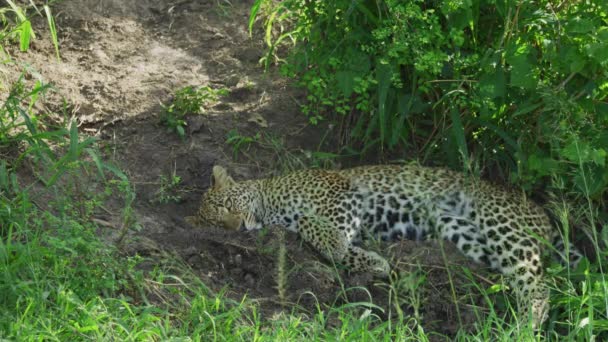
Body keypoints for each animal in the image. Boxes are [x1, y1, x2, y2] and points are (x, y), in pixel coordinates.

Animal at [190, 163, 584, 328]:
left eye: (227, 206)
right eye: (217, 224)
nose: (237, 228)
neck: (270, 201)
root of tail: (545, 217)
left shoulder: (340, 192)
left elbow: (318, 228)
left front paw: (349, 253)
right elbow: (326, 236)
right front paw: (372, 263)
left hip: (499, 222)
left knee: (540, 285)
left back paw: (525, 325)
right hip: (461, 229)